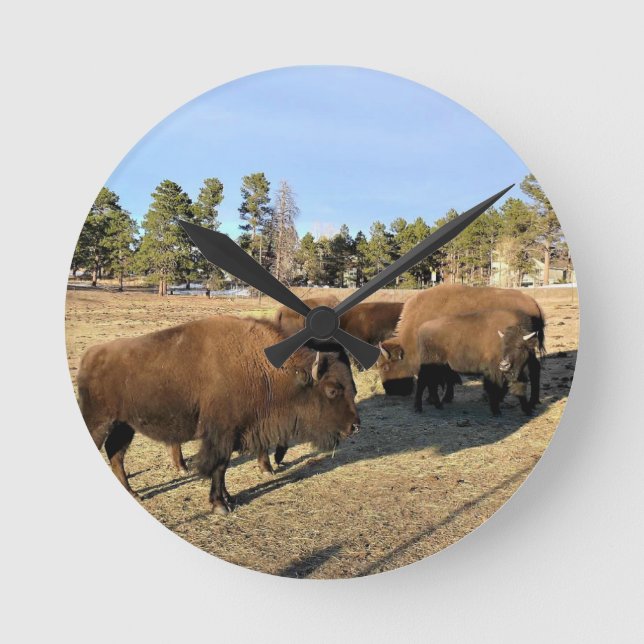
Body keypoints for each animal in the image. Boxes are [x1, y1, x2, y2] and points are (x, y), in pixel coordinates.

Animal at [78, 316, 360, 514]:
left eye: (354, 388)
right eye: (332, 390)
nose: (355, 426)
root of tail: (90, 355)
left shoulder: (235, 433)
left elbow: (222, 470)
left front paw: (228, 498)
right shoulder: (222, 434)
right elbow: (219, 466)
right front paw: (219, 505)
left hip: (124, 425)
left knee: (116, 454)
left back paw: (133, 493)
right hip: (100, 422)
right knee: (108, 450)